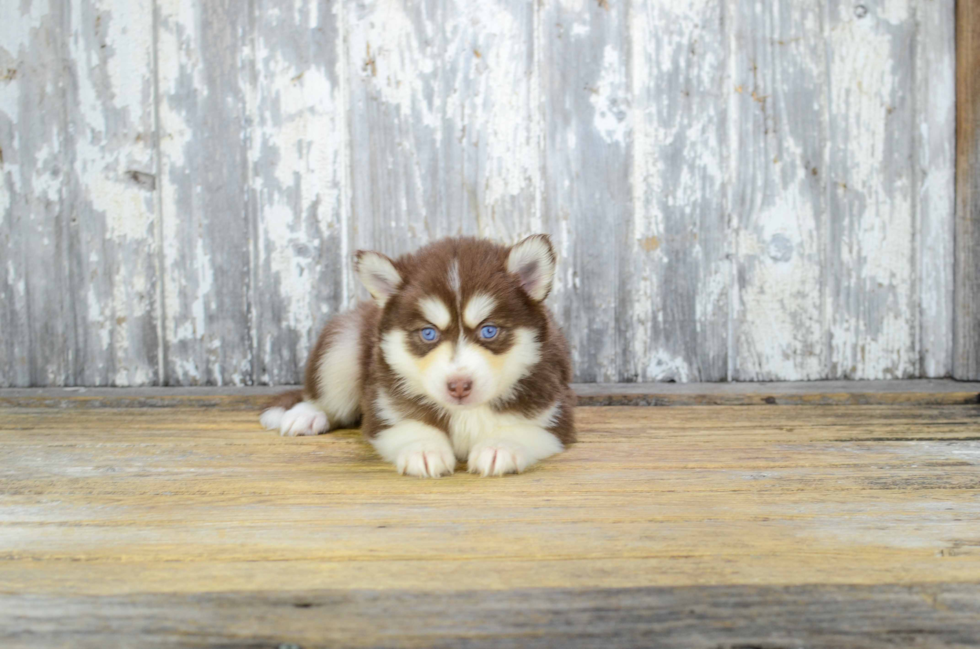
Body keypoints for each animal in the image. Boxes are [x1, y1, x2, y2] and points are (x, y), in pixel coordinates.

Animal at [264, 234, 580, 476]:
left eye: (489, 330)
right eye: (429, 333)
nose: (459, 386)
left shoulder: (554, 412)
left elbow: (521, 428)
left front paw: (499, 446)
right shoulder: (383, 405)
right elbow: (411, 425)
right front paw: (424, 450)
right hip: (342, 345)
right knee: (324, 396)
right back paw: (307, 414)